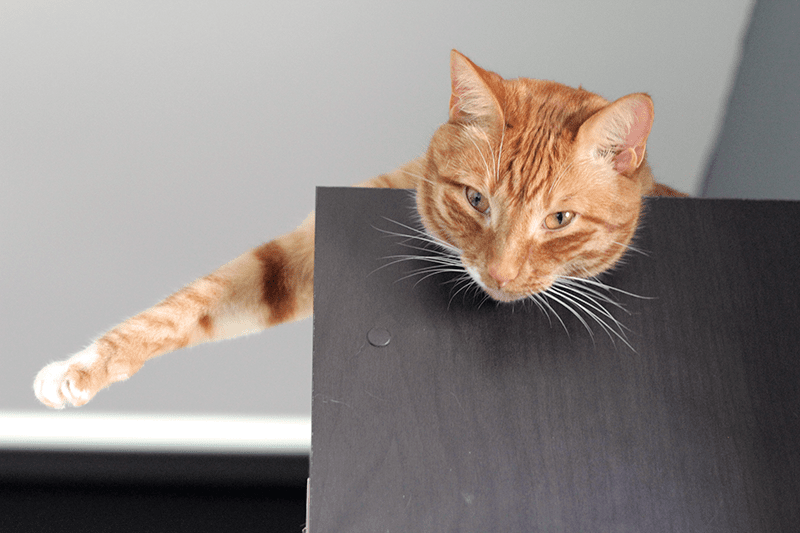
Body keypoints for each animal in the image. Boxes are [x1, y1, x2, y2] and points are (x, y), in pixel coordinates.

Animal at [34, 50, 688, 408]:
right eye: (476, 200)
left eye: (559, 220)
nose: (499, 275)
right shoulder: (305, 251)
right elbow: (186, 306)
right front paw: (84, 366)